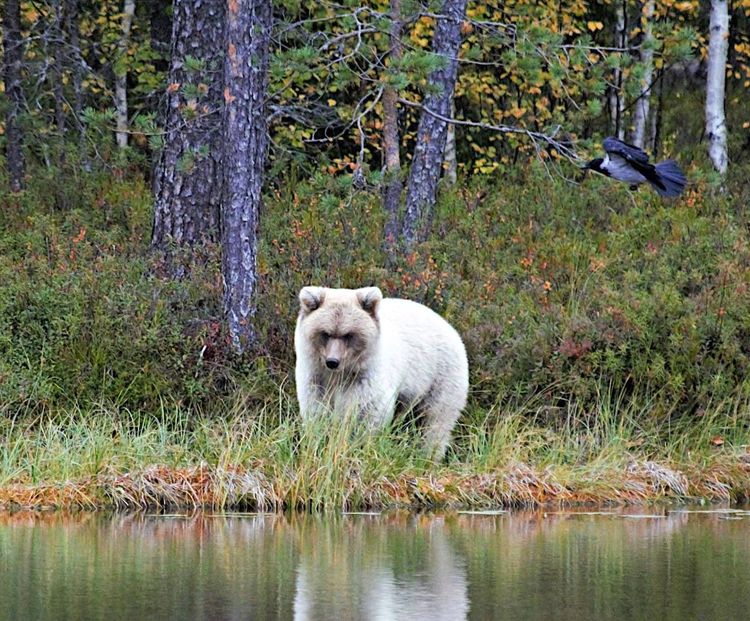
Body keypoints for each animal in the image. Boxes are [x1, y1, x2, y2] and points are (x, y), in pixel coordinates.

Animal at [294, 284, 470, 456]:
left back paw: (428, 454)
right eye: (325, 333)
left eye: (349, 334)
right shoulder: (315, 375)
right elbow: (316, 409)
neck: (341, 374)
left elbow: (367, 411)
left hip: (440, 375)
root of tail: (449, 326)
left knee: (435, 420)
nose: (332, 361)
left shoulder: (365, 377)